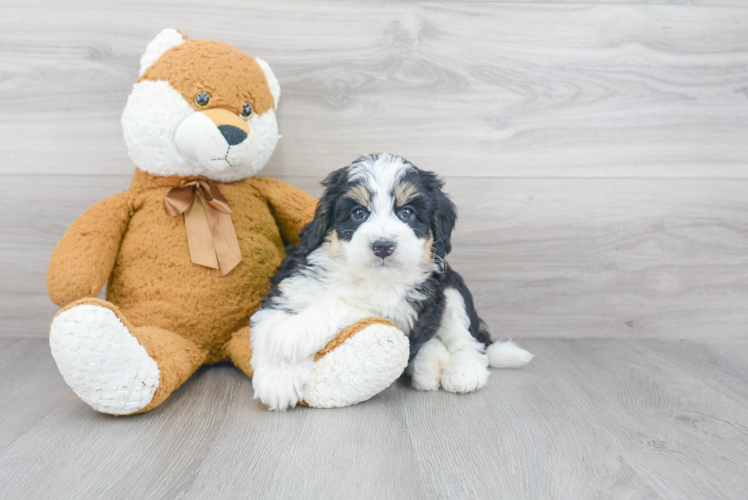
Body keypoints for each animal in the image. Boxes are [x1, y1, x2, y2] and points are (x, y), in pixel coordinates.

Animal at [251, 153, 532, 410]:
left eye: (407, 212)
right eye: (358, 213)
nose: (383, 246)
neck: (364, 275)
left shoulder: (399, 308)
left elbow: (343, 305)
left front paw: (292, 334)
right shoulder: (291, 284)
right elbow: (268, 322)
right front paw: (278, 376)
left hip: (451, 291)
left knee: (469, 341)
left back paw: (463, 373)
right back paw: (428, 365)